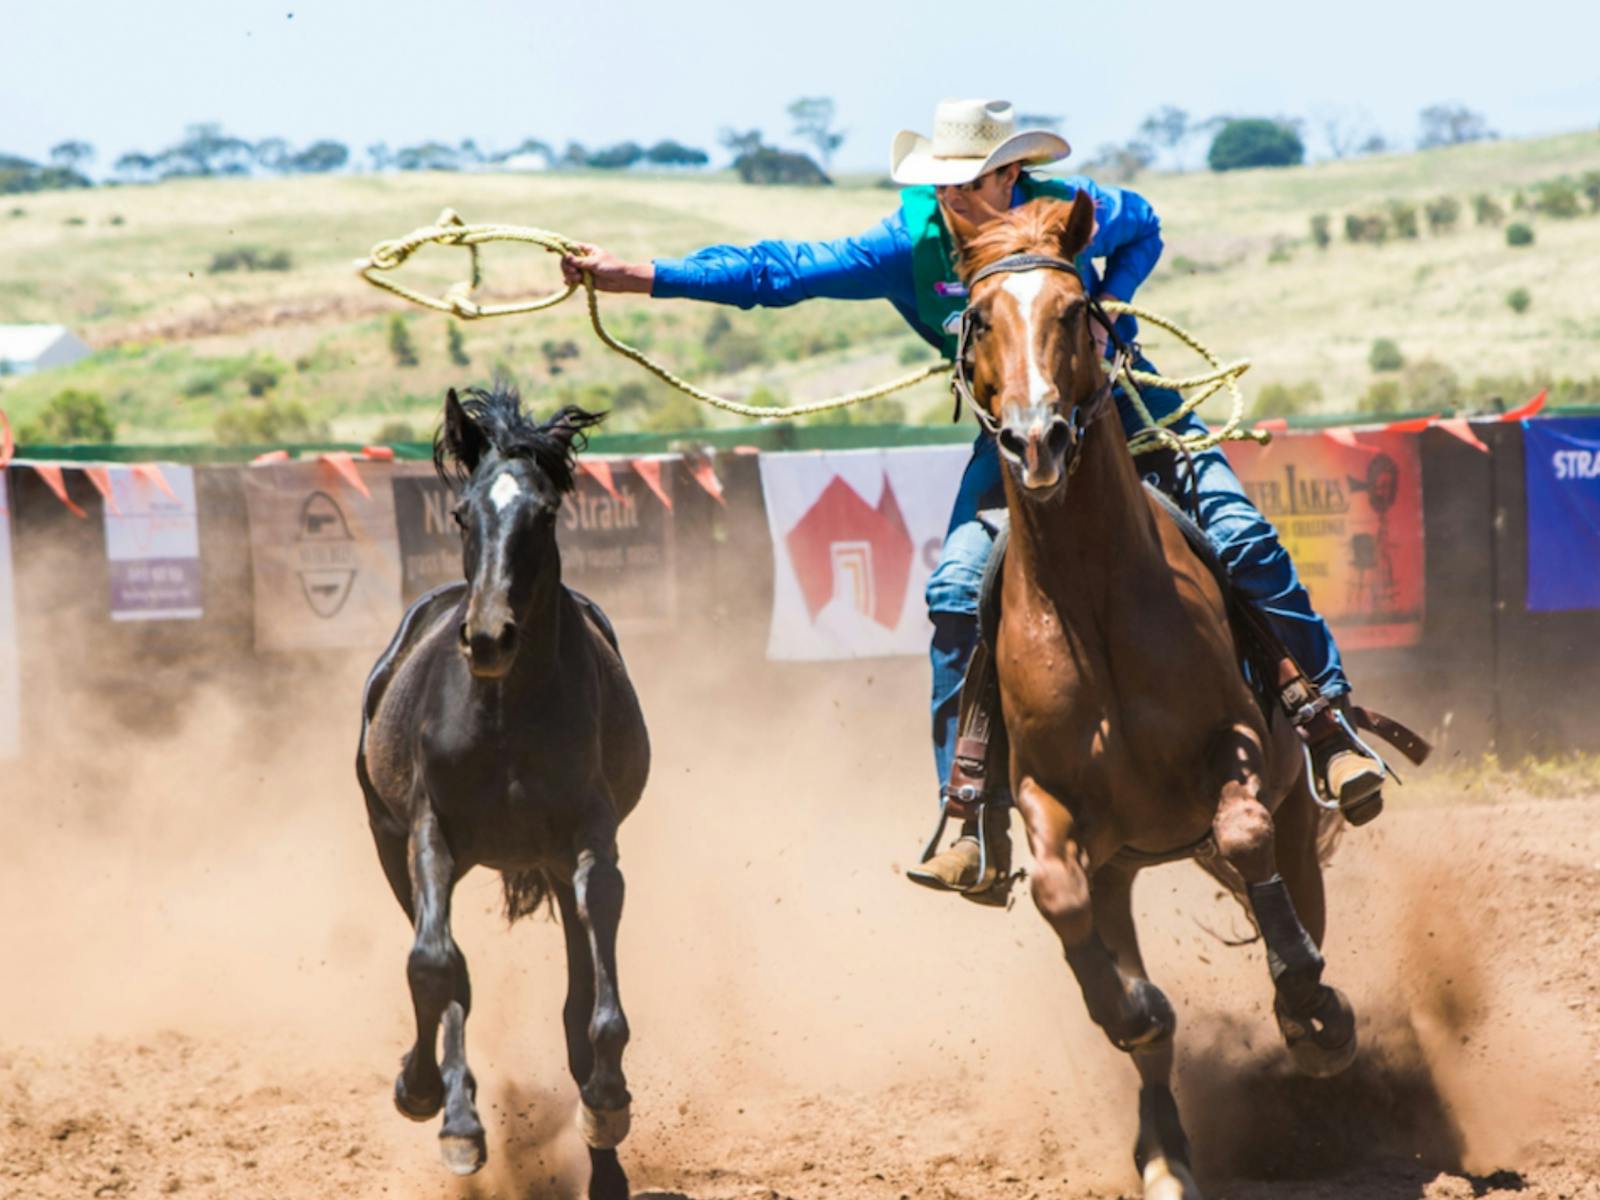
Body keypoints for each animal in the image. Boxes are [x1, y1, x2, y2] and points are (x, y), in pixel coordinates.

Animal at [358, 380, 649, 1196]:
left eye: (544, 514)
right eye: (462, 513)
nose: (488, 636)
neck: (506, 714)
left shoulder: (588, 838)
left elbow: (594, 985)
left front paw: (608, 1102)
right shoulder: (430, 836)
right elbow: (435, 966)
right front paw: (432, 1102)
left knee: (571, 993)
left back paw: (603, 1162)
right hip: (388, 843)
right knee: (447, 970)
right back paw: (448, 1106)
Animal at [940, 197, 1356, 1200]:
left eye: (1070, 310)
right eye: (981, 320)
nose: (1036, 440)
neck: (1092, 599)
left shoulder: (1237, 746)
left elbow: (1243, 837)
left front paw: (1307, 991)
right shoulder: (1049, 799)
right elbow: (1062, 905)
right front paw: (1131, 1010)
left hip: (1295, 806)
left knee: (1287, 881)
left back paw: (1315, 1016)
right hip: (1122, 865)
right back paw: (1165, 1149)